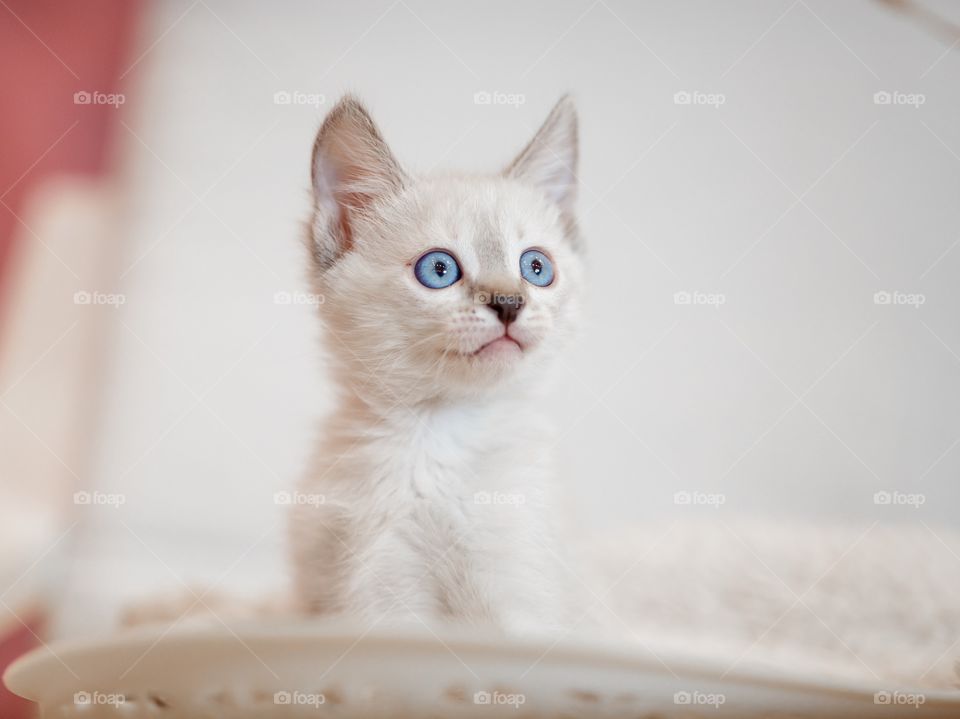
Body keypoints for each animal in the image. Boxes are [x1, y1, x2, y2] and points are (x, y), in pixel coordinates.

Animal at [288, 93, 580, 632]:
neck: (442, 430)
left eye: (536, 268)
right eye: (439, 270)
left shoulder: (520, 599)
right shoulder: (382, 595)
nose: (509, 303)